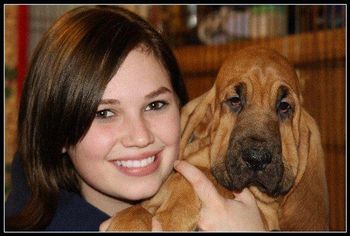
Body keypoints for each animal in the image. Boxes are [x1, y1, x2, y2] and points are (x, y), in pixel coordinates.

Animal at [108, 47, 330, 231]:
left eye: (284, 106)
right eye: (234, 101)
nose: (256, 159)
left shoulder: (267, 216)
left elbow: (201, 177)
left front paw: (172, 214)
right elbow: (139, 209)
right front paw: (131, 222)